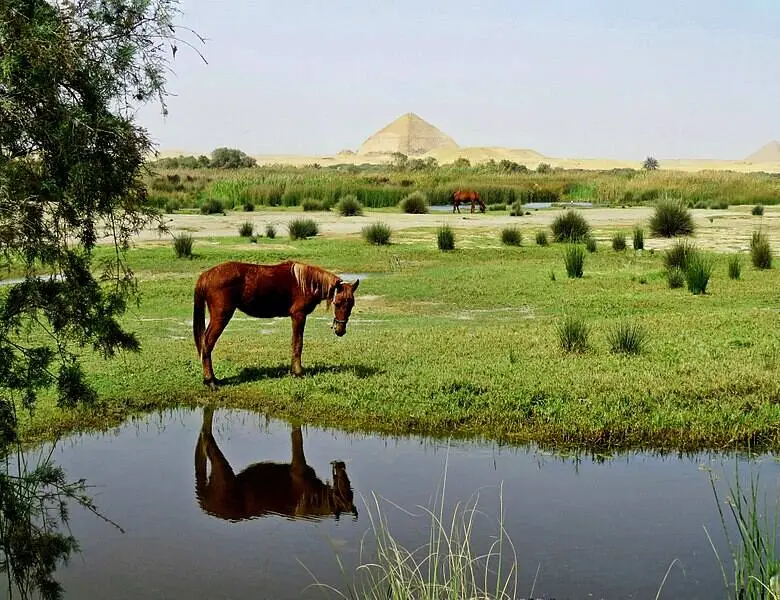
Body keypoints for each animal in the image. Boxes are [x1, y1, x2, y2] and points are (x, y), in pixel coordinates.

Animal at [193, 260, 358, 386]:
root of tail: (206, 275)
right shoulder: (298, 316)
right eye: (337, 303)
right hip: (221, 317)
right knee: (207, 344)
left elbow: (294, 343)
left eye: (351, 304)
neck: (305, 283)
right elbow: (298, 344)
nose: (340, 330)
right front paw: (298, 372)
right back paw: (210, 380)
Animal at [195, 406, 356, 524]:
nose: (341, 464)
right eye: (345, 493)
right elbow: (298, 438)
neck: (320, 497)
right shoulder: (299, 467)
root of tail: (205, 506)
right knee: (206, 439)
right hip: (223, 474)